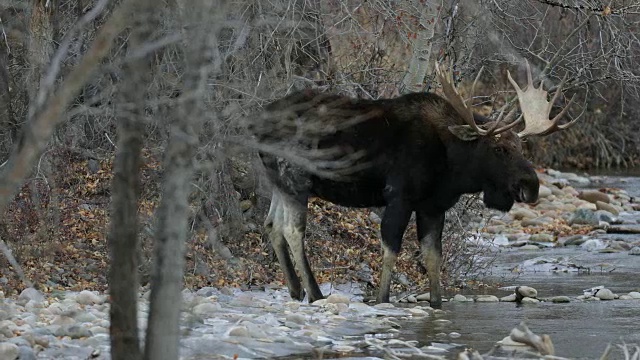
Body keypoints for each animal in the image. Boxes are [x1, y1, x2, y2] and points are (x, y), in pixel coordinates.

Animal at [258, 61, 576, 306]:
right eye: (499, 149)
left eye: (521, 148)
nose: (531, 185)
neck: (452, 166)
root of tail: (257, 127)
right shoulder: (399, 196)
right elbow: (391, 247)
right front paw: (382, 299)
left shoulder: (433, 206)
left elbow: (432, 256)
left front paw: (436, 303)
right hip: (296, 179)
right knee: (292, 230)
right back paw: (315, 293)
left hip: (279, 183)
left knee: (272, 224)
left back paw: (295, 289)